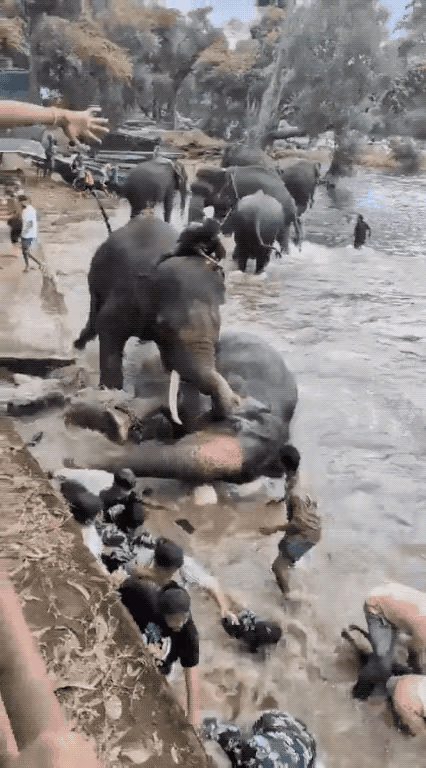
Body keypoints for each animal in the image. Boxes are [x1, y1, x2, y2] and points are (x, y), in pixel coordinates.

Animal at [73, 216, 238, 420]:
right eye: (166, 325)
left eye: (218, 327)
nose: (236, 401)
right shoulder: (126, 297)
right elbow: (108, 328)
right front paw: (111, 391)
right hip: (96, 272)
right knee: (95, 311)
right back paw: (78, 345)